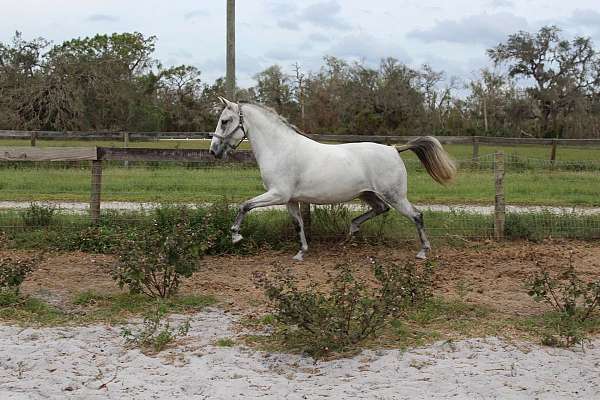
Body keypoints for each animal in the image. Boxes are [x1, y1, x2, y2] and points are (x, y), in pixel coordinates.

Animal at [209, 98, 458, 260]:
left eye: (225, 121)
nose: (213, 151)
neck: (280, 148)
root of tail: (394, 149)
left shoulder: (277, 194)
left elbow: (245, 206)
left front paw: (235, 235)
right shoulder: (290, 200)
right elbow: (298, 224)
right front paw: (301, 253)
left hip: (394, 195)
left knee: (416, 215)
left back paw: (423, 252)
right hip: (368, 194)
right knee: (381, 209)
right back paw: (352, 230)